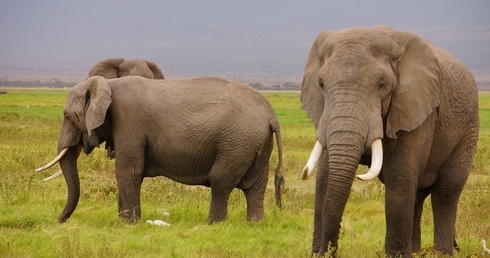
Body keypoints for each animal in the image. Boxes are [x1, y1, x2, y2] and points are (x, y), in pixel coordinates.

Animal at [35, 75, 284, 224]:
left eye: (68, 116)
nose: (58, 222)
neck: (109, 83)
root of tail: (271, 115)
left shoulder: (129, 120)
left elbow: (127, 169)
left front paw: (128, 224)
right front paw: (122, 220)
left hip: (236, 142)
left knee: (221, 181)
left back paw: (213, 225)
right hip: (256, 144)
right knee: (255, 186)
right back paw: (254, 224)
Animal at [298, 25, 478, 256]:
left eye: (382, 85)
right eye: (321, 84)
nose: (327, 251)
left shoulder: (416, 108)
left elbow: (399, 178)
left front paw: (397, 255)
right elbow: (325, 178)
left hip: (468, 130)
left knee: (445, 194)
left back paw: (440, 253)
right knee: (417, 195)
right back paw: (416, 252)